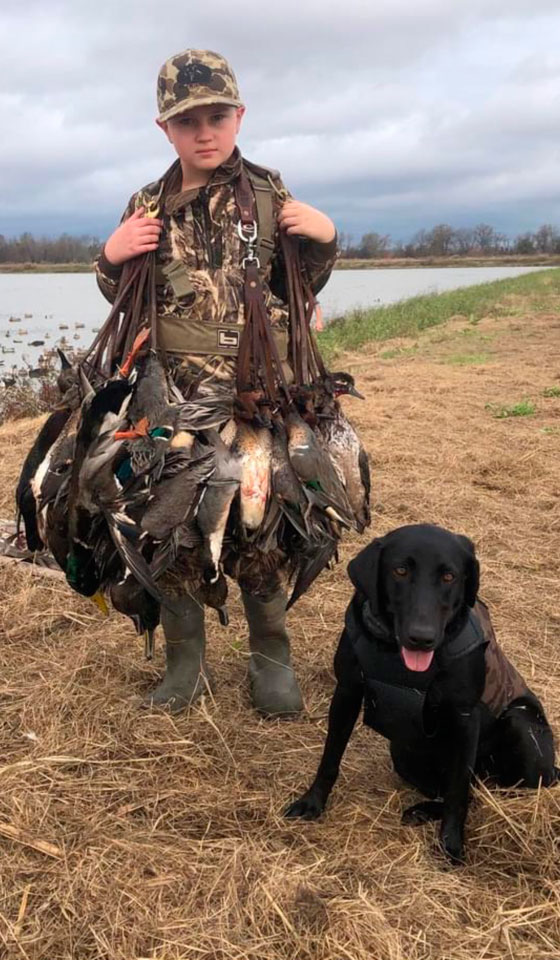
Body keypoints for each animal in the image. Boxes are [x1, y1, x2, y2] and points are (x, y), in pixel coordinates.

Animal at [286, 524, 557, 863]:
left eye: (449, 576)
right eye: (400, 570)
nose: (421, 638)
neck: (392, 650)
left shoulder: (464, 718)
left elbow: (458, 791)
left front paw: (451, 844)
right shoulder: (346, 692)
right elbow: (329, 758)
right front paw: (312, 802)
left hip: (521, 726)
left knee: (484, 790)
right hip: (402, 750)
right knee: (466, 791)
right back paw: (422, 811)